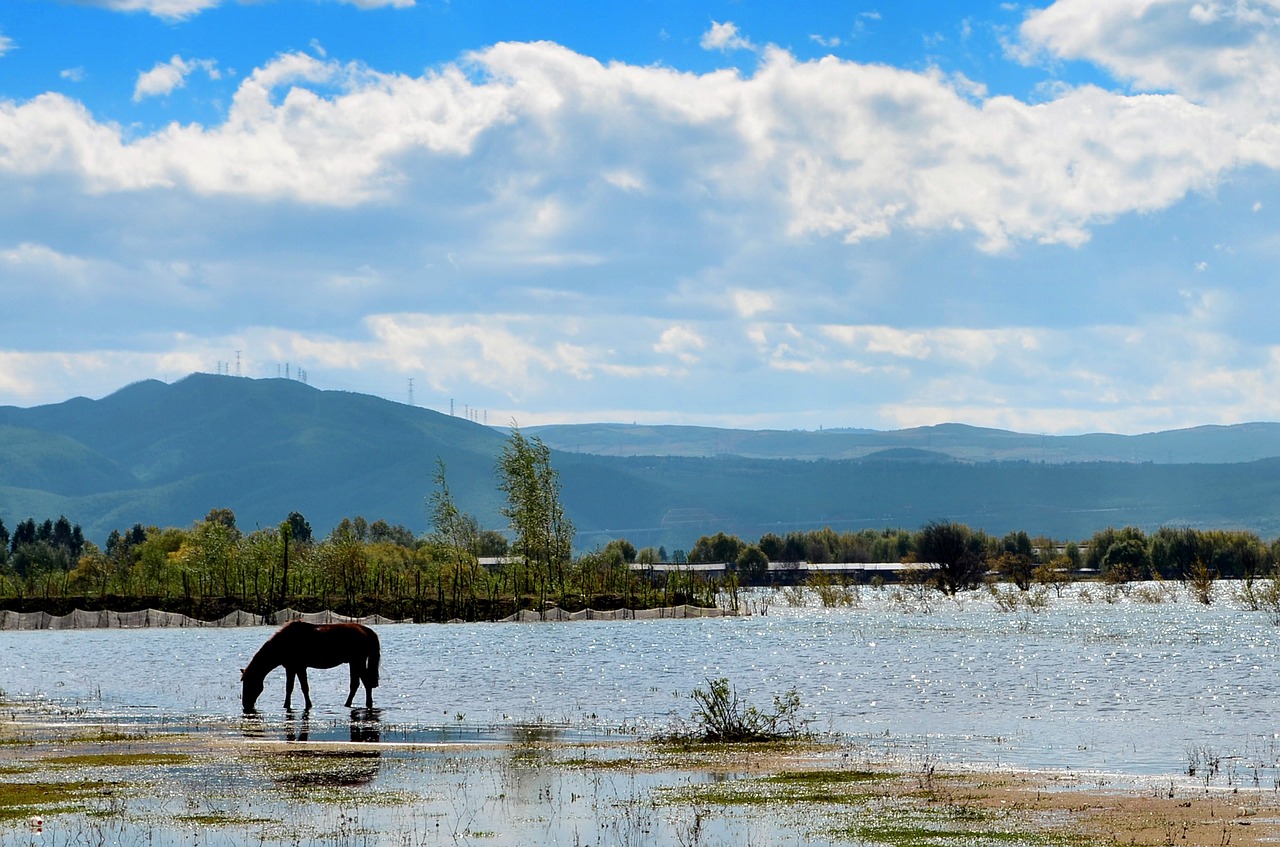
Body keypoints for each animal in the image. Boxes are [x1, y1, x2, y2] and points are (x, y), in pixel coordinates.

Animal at [240, 621, 378, 711]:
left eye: (248, 682)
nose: (245, 704)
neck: (282, 644)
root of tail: (365, 630)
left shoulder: (300, 667)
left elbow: (304, 688)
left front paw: (307, 705)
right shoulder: (291, 668)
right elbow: (289, 688)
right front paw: (287, 705)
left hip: (358, 661)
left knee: (366, 683)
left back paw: (366, 704)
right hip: (353, 662)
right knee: (356, 684)